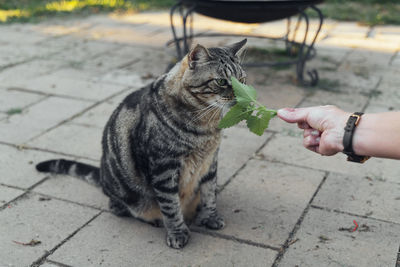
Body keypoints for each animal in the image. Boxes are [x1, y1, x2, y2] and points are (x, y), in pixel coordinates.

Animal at [36, 38, 247, 250]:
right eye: (221, 81)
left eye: (242, 79)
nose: (240, 96)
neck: (206, 124)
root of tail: (102, 174)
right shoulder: (164, 168)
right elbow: (170, 205)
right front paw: (177, 232)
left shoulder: (210, 161)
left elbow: (209, 192)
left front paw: (210, 217)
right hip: (122, 189)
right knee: (118, 204)